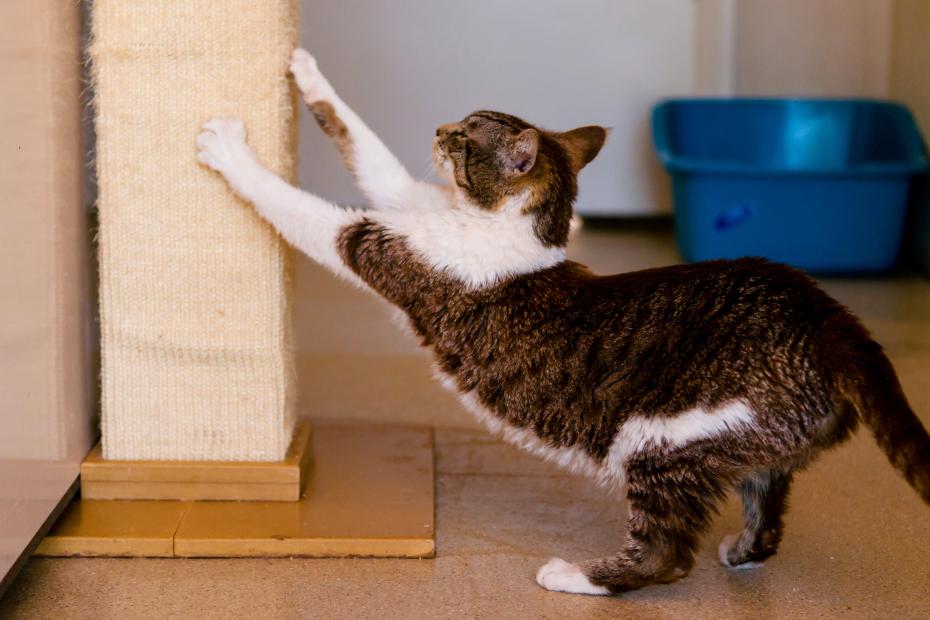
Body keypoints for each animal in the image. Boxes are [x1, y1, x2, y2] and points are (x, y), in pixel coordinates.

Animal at [198, 48, 928, 596]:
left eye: (464, 138)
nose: (436, 128)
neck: (503, 228)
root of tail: (827, 316)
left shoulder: (383, 247)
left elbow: (308, 212)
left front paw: (229, 151)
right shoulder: (406, 202)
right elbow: (368, 150)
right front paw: (306, 69)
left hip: (659, 439)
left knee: (667, 555)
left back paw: (575, 576)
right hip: (754, 439)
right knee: (767, 506)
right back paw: (741, 550)